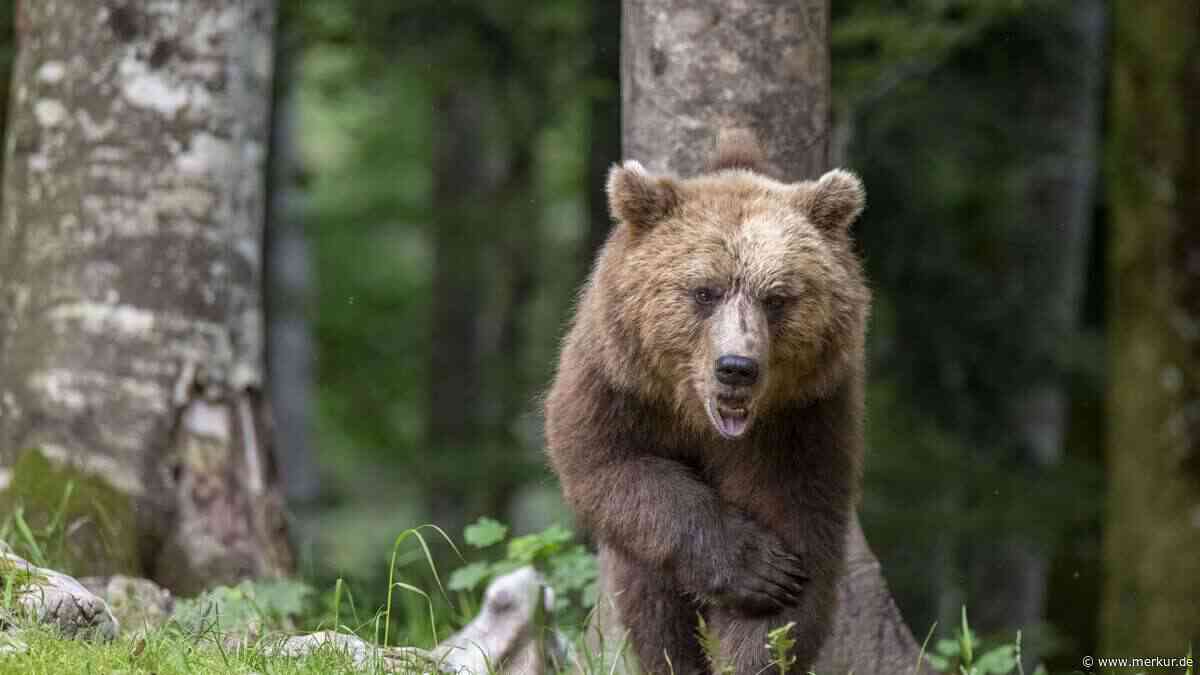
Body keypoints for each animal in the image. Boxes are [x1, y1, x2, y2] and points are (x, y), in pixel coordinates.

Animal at [544, 129, 868, 675]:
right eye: (704, 291)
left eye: (777, 298)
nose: (736, 366)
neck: (696, 416)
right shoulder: (617, 385)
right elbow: (608, 464)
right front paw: (758, 568)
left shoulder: (800, 421)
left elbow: (796, 530)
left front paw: (763, 633)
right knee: (648, 590)